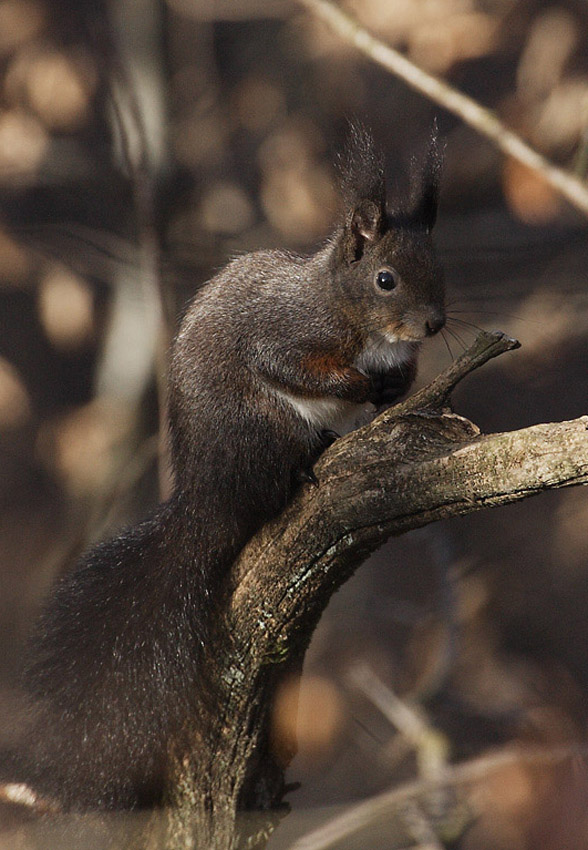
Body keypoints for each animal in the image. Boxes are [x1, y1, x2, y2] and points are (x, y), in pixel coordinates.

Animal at [4, 124, 446, 808]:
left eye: (441, 268)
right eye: (386, 279)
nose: (434, 323)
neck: (348, 312)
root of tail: (210, 496)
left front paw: (394, 385)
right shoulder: (286, 333)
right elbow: (286, 363)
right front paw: (354, 382)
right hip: (265, 427)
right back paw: (307, 464)